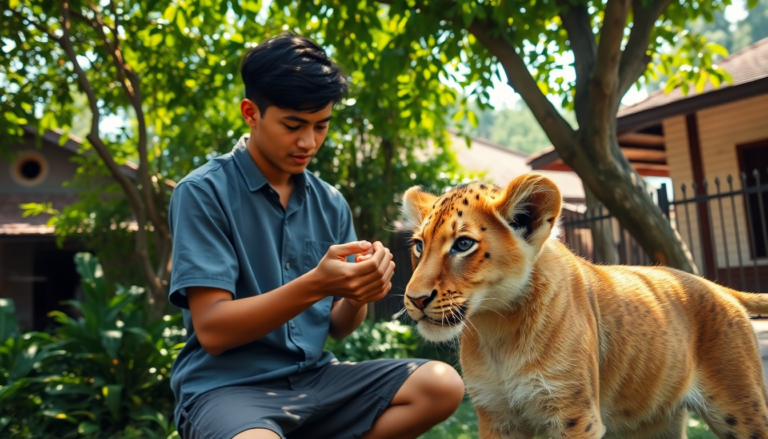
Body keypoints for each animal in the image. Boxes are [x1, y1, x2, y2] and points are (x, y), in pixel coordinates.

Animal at [400, 173, 768, 439]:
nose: (415, 299)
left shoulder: (573, 415)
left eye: (463, 244)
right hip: (653, 423)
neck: (497, 328)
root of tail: (718, 287)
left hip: (742, 408)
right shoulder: (496, 415)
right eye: (418, 246)